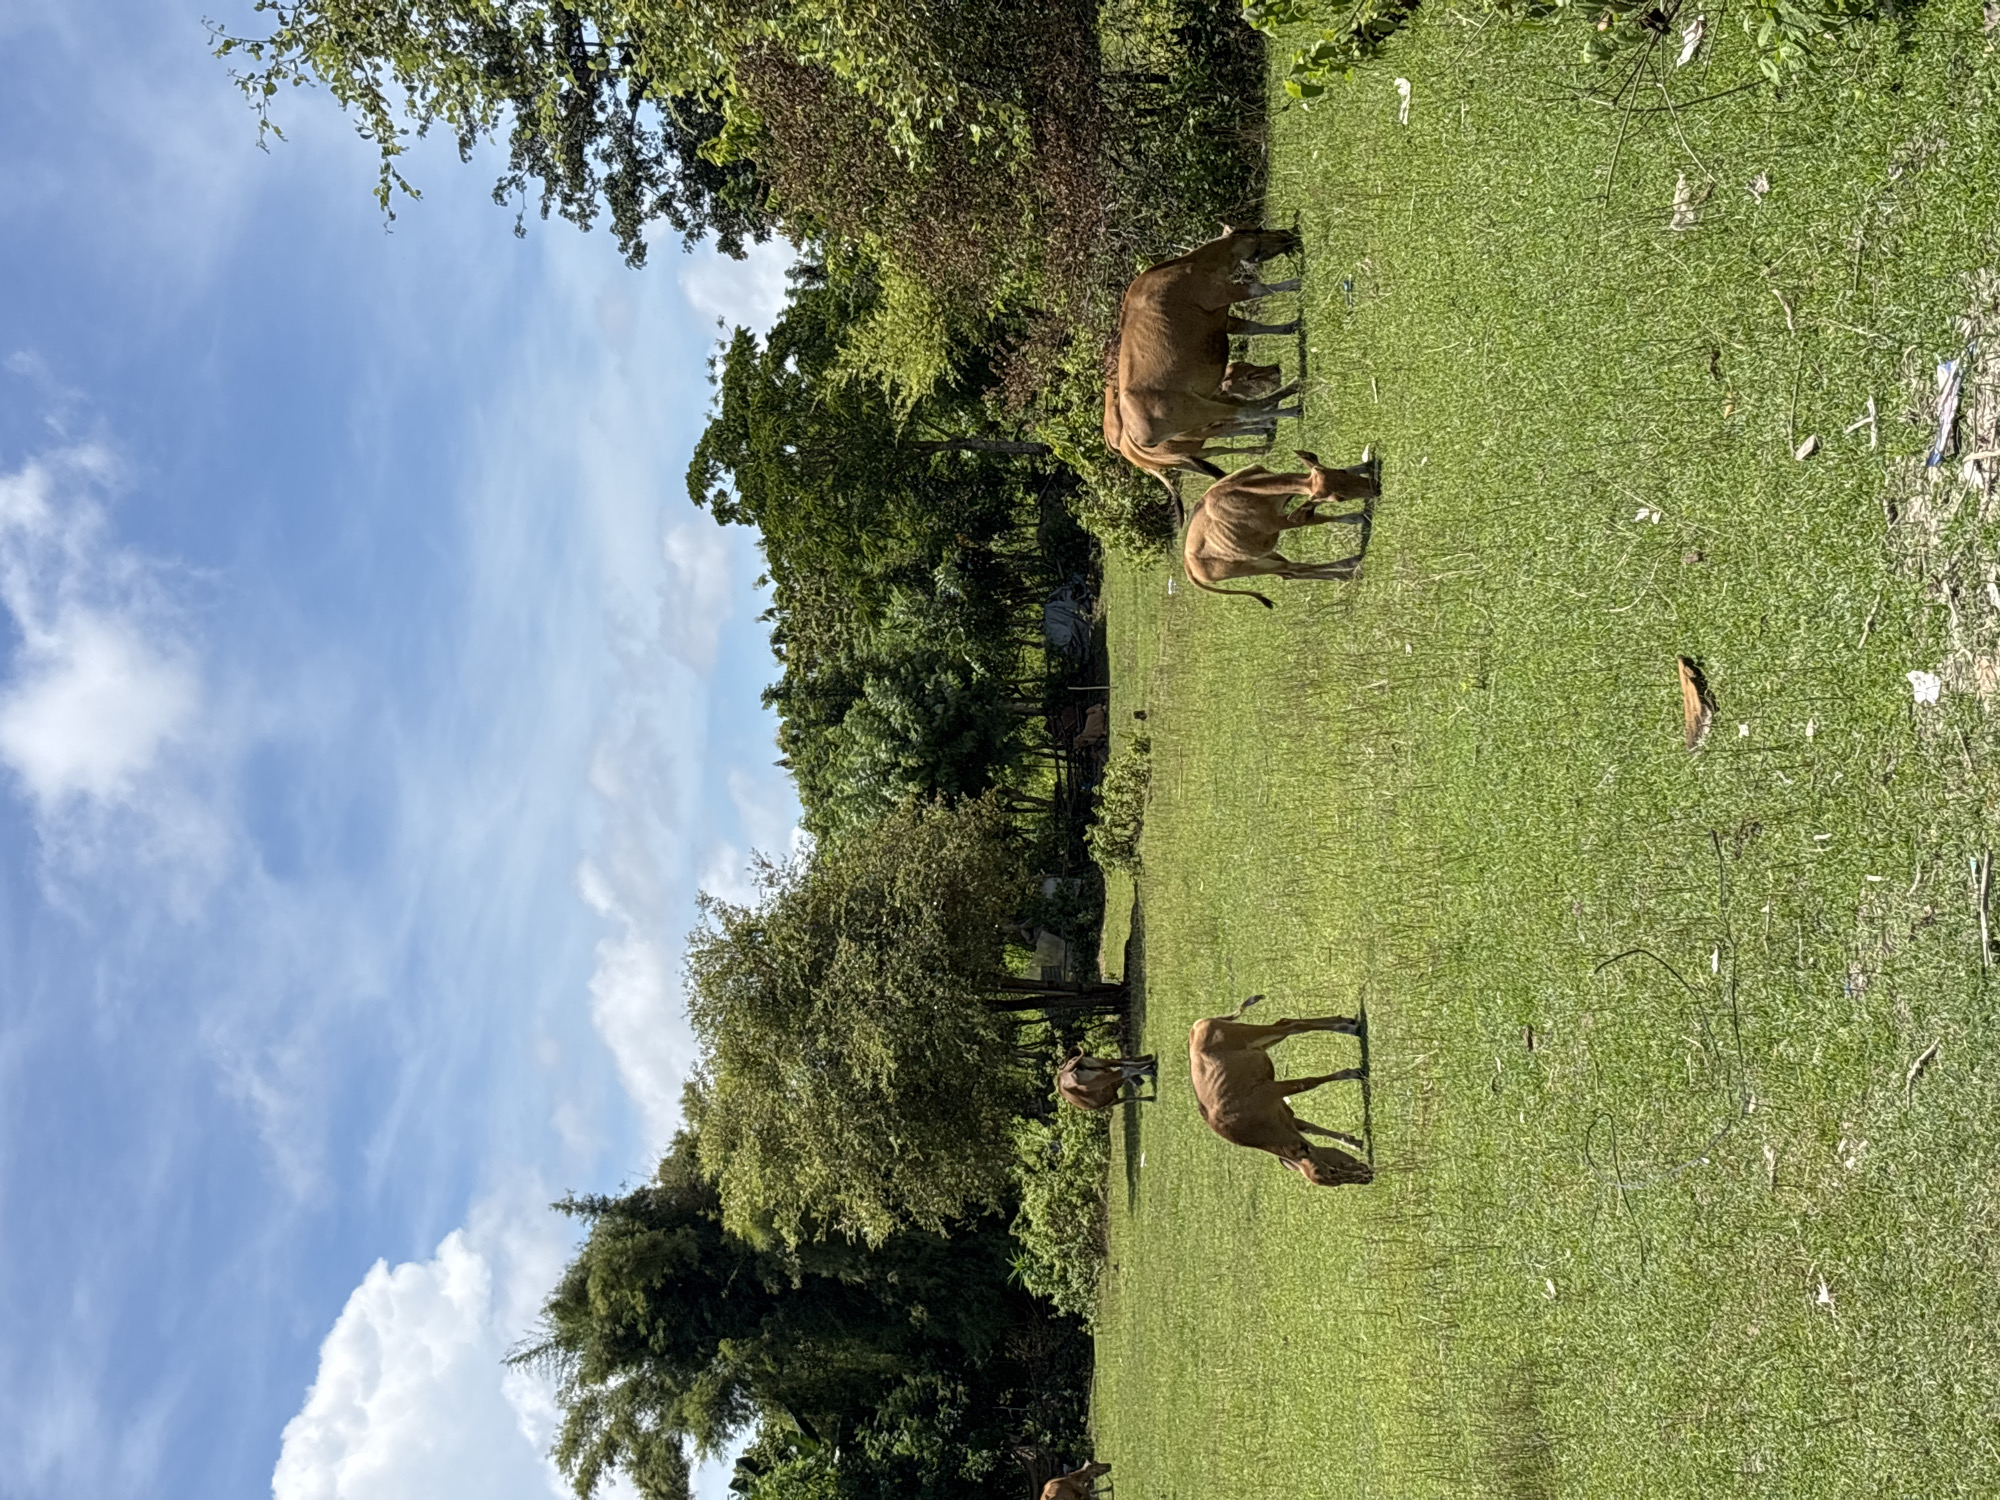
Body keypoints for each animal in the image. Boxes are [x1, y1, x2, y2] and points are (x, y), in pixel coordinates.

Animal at [1108, 226, 1304, 483]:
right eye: (1258, 232)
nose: (1286, 234)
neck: (1191, 264)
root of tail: (1129, 440)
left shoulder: (1223, 318)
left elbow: (1253, 327)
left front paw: (1292, 325)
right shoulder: (1223, 292)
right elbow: (1260, 289)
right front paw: (1297, 282)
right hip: (1202, 411)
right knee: (1243, 414)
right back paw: (1289, 410)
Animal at [1181, 450, 1381, 608]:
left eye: (1341, 471)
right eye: (1339, 498)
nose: (1375, 488)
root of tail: (1189, 566)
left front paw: (1370, 464)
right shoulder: (1278, 523)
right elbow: (1317, 519)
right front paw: (1360, 517)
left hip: (1265, 555)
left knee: (1290, 572)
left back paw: (1350, 568)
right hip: (1253, 566)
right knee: (1293, 570)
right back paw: (1351, 568)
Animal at [1188, 995, 1371, 1186]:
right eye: (1332, 1172)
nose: (1367, 1176)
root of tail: (1198, 1024)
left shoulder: (1270, 1089)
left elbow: (1307, 1083)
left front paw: (1353, 1073)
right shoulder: (1284, 1110)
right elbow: (1310, 1128)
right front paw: (1354, 1142)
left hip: (1250, 1033)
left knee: (1290, 1025)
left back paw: (1349, 1027)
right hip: (1264, 1042)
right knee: (1287, 1023)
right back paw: (1348, 1023)